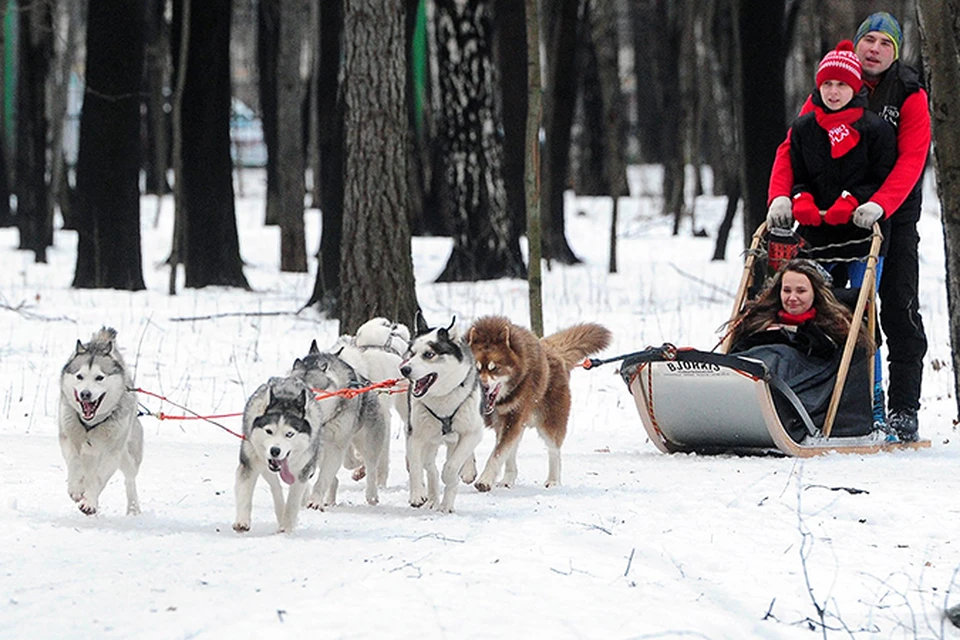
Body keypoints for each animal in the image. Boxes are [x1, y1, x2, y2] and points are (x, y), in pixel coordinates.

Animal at [468, 316, 612, 490]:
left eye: (494, 368)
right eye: (476, 368)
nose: (483, 386)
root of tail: (552, 350)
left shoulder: (514, 417)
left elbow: (497, 453)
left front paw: (485, 479)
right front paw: (467, 471)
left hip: (549, 422)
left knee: (554, 451)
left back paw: (553, 480)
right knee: (511, 450)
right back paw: (508, 478)